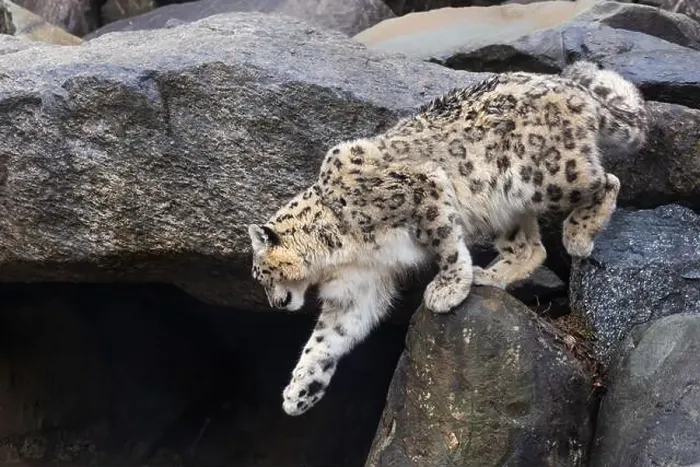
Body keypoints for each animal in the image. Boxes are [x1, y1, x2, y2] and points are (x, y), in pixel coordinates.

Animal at [247, 60, 649, 416]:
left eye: (261, 275)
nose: (275, 305)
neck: (341, 257)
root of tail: (568, 86)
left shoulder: (424, 189)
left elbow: (446, 244)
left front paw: (448, 289)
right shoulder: (359, 286)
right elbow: (326, 339)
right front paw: (299, 392)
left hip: (549, 178)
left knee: (607, 181)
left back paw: (578, 234)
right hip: (502, 207)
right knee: (532, 248)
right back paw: (489, 276)